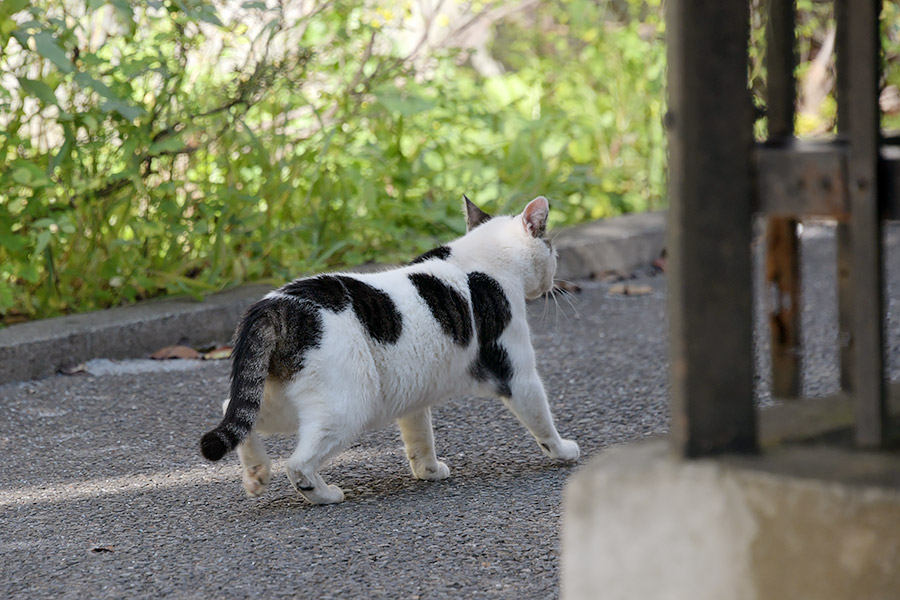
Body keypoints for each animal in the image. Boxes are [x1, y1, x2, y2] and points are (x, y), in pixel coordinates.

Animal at [200, 196, 580, 502]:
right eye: (552, 248)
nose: (554, 278)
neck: (481, 263)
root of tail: (274, 305)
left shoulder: (415, 394)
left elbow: (419, 437)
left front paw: (428, 471)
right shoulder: (517, 374)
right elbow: (541, 418)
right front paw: (563, 451)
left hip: (285, 400)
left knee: (234, 412)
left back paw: (256, 474)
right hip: (348, 406)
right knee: (298, 463)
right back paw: (323, 494)